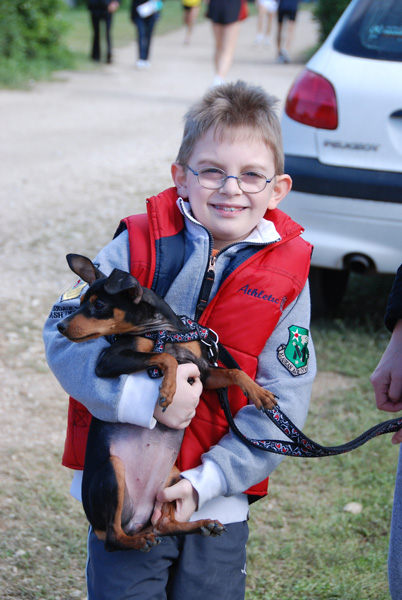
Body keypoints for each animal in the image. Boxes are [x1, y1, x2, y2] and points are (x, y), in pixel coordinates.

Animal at [56, 254, 276, 552]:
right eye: (78, 303)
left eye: (98, 305)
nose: (60, 326)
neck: (163, 331)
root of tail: (136, 522)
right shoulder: (108, 362)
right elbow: (166, 358)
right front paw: (169, 390)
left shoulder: (204, 373)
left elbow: (234, 372)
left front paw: (259, 393)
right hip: (115, 471)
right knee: (114, 539)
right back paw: (141, 541)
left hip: (172, 476)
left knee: (163, 524)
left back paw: (201, 525)